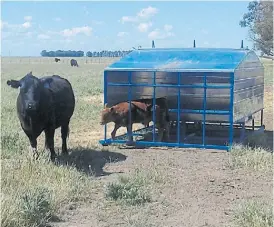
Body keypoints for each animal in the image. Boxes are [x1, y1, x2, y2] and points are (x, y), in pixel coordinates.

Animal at [99, 48, 264, 151]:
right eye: (101, 114)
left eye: (106, 114)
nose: (100, 122)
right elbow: (115, 133)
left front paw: (128, 142)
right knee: (165, 127)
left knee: (164, 128)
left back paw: (161, 140)